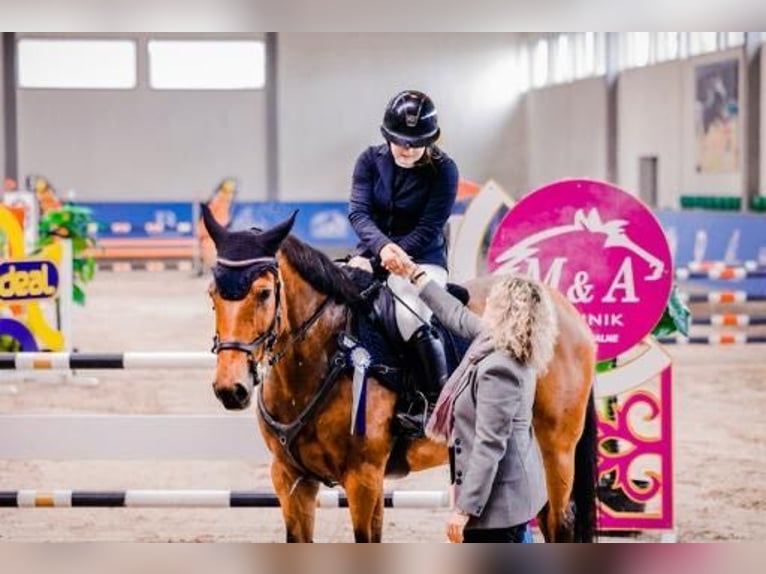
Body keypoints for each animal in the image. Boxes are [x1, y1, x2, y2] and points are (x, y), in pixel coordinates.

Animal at [204, 207, 600, 544]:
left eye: (263, 293)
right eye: (212, 294)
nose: (230, 389)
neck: (323, 357)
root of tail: (563, 307)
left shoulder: (363, 478)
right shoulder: (290, 479)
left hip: (557, 449)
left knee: (560, 522)